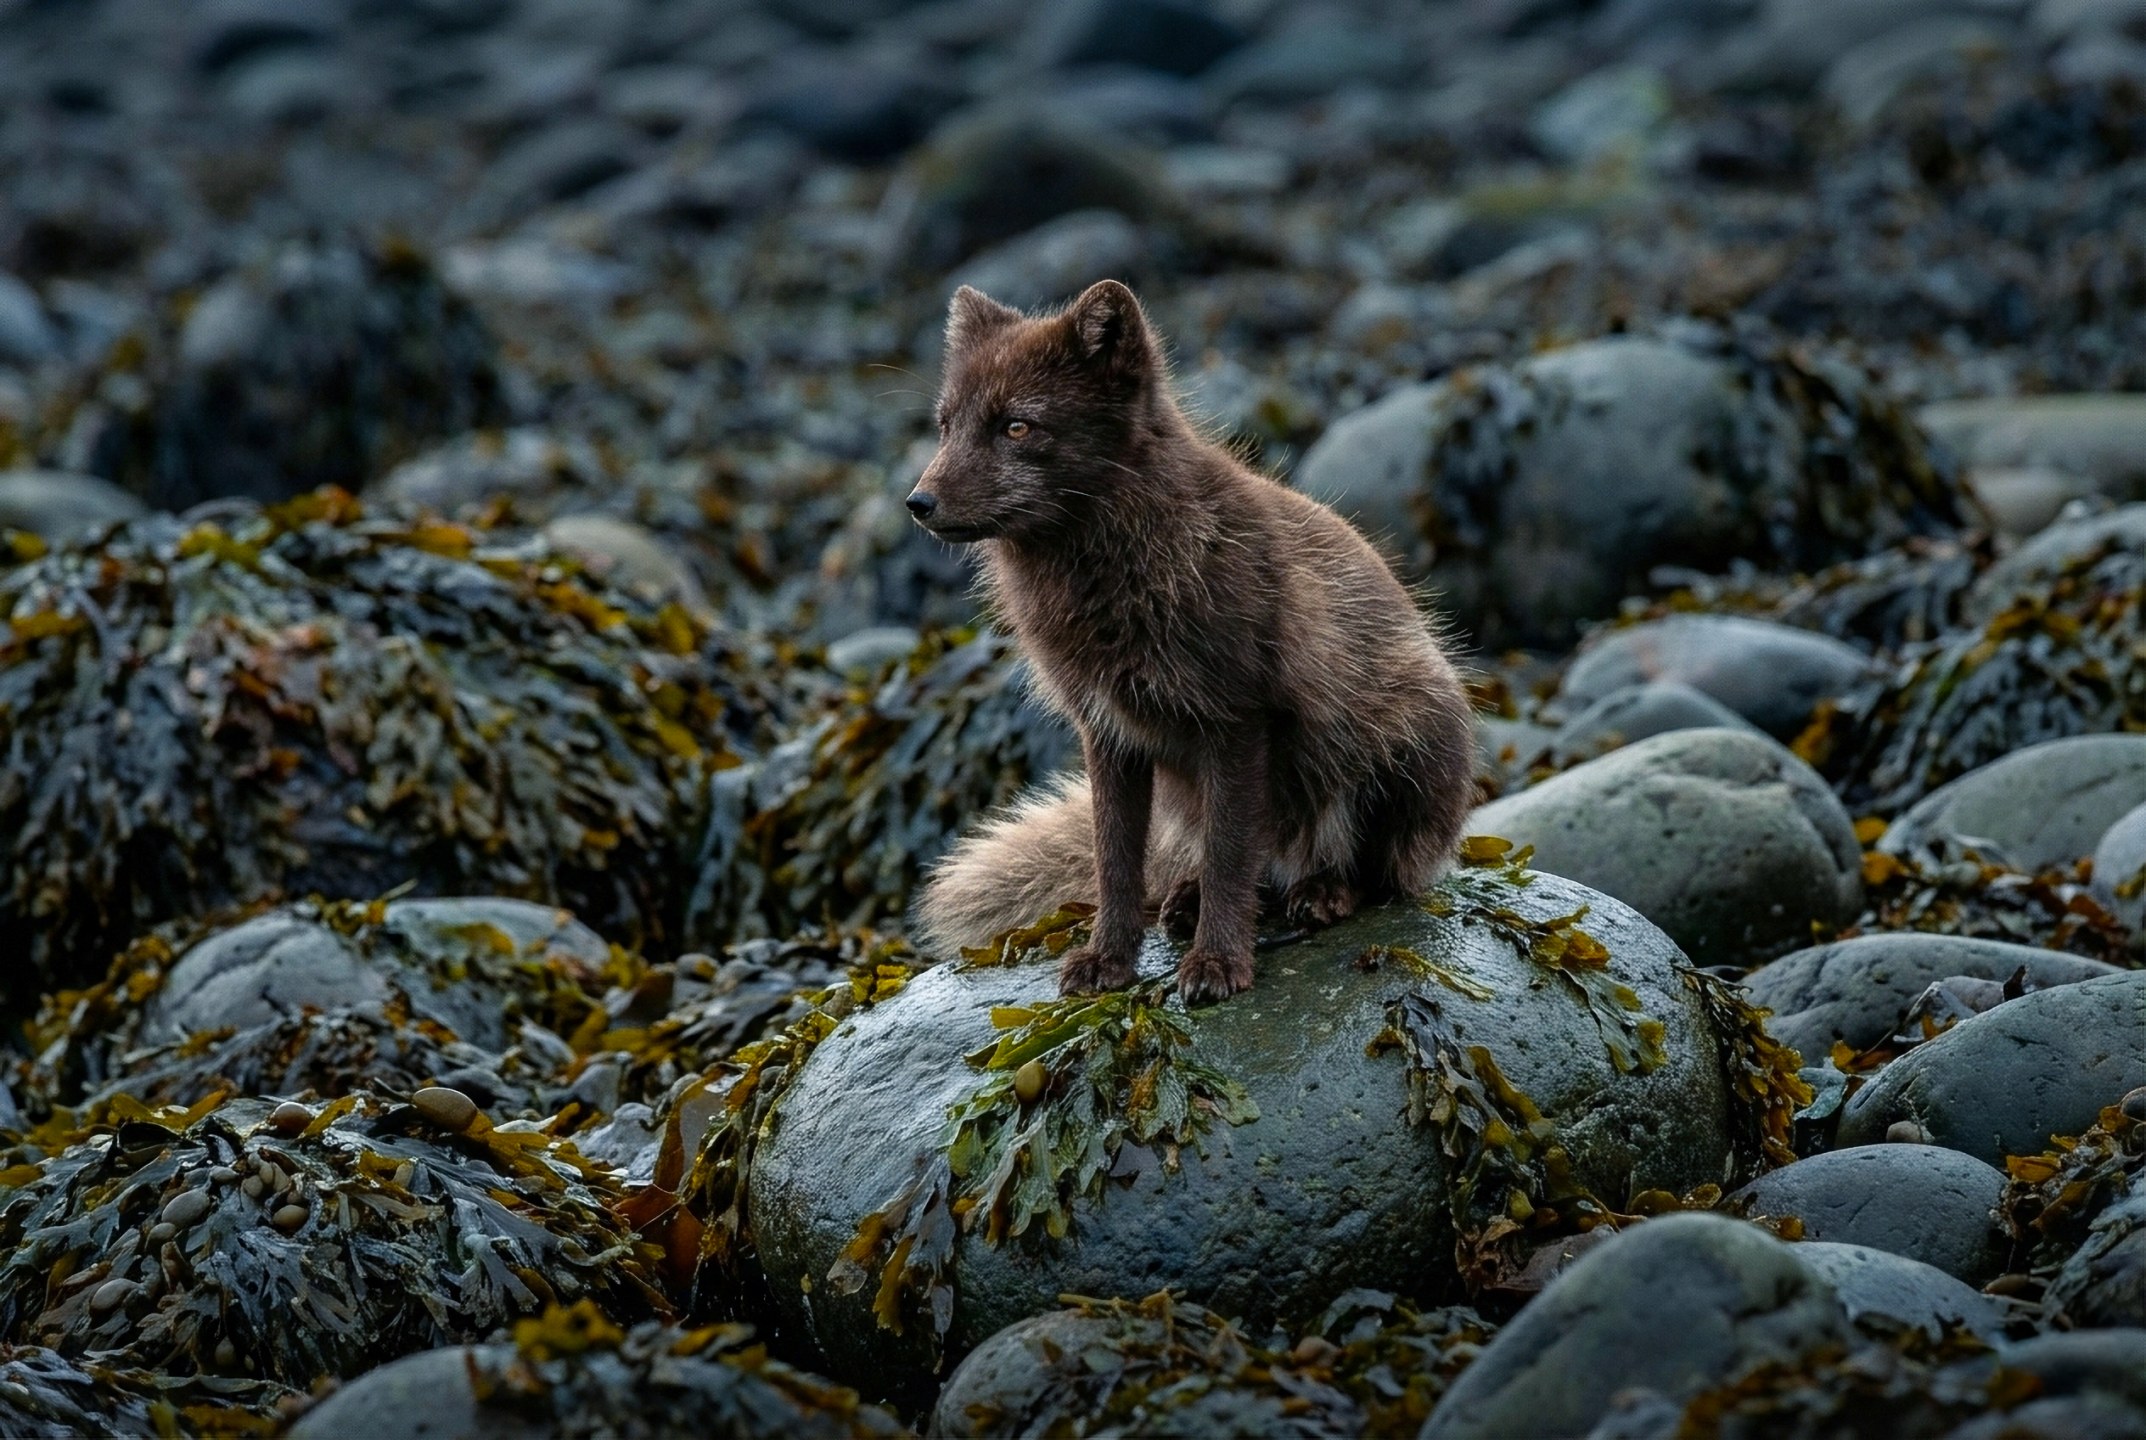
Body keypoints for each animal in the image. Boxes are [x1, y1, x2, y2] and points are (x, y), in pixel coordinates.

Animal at [907, 279, 1476, 1003]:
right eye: (945, 425)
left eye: (1016, 426)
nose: (917, 503)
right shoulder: (1108, 732)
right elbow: (1117, 866)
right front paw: (1110, 959)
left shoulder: (1236, 720)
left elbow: (1231, 858)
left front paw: (1218, 964)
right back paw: (1188, 898)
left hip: (1398, 746)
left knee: (1378, 876)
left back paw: (1323, 892)